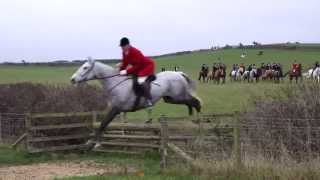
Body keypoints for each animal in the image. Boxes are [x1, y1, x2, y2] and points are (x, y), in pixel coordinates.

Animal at [71, 58, 201, 148]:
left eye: (85, 67)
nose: (72, 79)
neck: (117, 84)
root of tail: (179, 73)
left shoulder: (116, 109)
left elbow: (103, 124)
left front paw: (96, 142)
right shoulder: (119, 111)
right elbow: (109, 124)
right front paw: (92, 141)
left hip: (177, 96)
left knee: (195, 102)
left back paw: (198, 122)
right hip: (170, 98)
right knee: (190, 103)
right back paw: (192, 119)